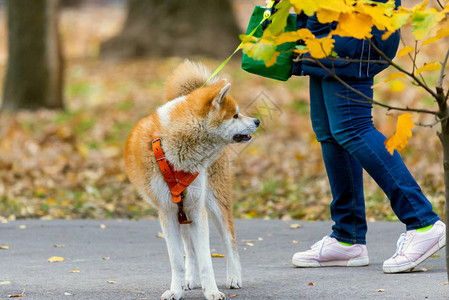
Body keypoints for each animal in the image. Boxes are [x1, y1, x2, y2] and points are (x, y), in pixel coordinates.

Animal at [124, 59, 260, 298]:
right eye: (235, 115)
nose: (257, 120)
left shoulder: (198, 210)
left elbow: (207, 259)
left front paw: (212, 291)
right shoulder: (168, 213)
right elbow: (178, 260)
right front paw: (175, 291)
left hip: (215, 203)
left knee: (230, 242)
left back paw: (233, 277)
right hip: (184, 212)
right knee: (189, 250)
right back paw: (189, 280)